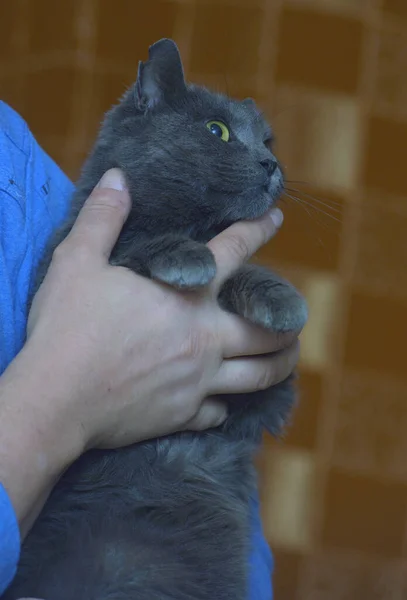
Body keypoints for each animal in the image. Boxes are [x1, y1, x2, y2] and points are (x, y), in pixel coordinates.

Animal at [3, 38, 308, 600]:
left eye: (267, 138)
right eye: (217, 130)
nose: (270, 162)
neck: (195, 225)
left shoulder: (260, 405)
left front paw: (280, 299)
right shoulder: (55, 271)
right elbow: (136, 247)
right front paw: (188, 259)